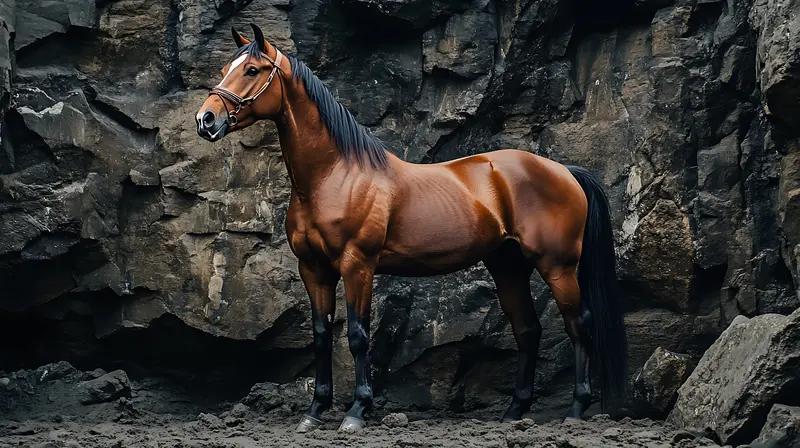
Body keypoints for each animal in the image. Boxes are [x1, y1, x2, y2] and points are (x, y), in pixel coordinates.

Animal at [196, 24, 627, 433]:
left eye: (252, 70)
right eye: (225, 68)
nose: (206, 120)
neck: (334, 176)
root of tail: (564, 170)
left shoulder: (357, 265)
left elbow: (357, 336)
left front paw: (356, 412)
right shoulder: (313, 269)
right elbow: (321, 336)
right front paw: (315, 412)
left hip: (558, 266)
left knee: (578, 325)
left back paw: (576, 409)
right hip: (508, 265)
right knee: (528, 330)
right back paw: (515, 411)